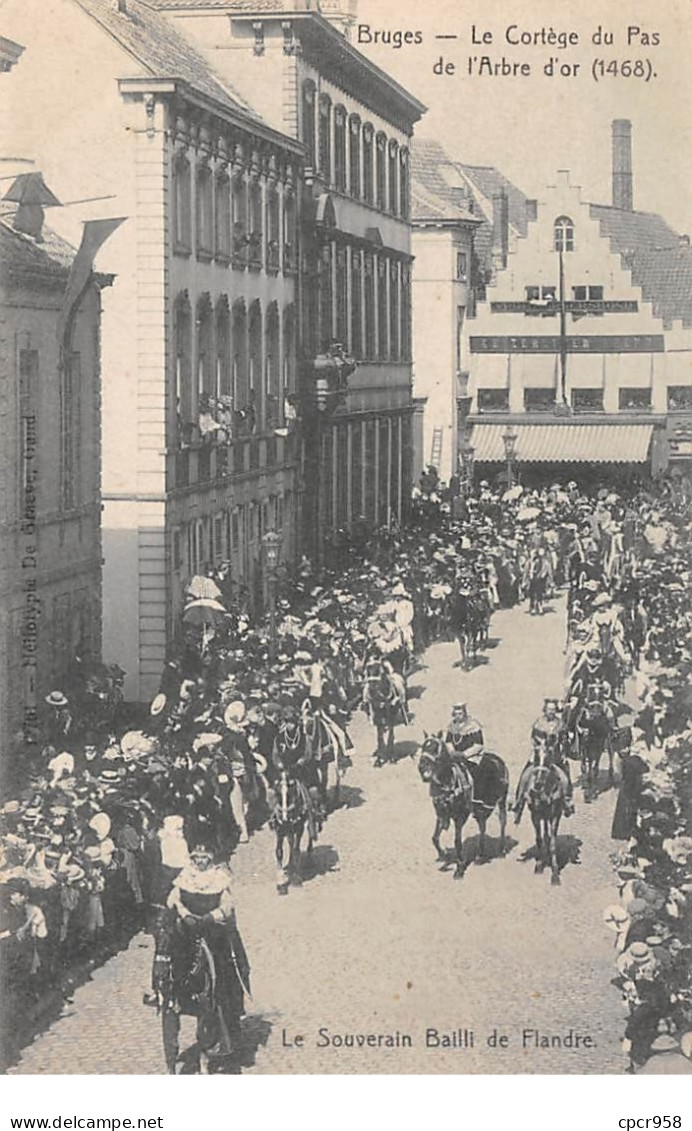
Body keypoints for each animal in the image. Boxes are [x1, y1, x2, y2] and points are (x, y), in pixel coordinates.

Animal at [269, 764, 316, 895]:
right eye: (277, 790)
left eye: (292, 788)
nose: (285, 817)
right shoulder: (279, 830)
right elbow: (279, 852)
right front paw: (281, 884)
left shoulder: (299, 829)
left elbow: (296, 850)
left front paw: (296, 879)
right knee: (290, 841)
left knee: (308, 836)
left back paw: (309, 855)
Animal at [416, 732, 508, 882]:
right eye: (424, 746)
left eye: (435, 748)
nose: (421, 766)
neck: (448, 783)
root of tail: (499, 761)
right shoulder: (440, 813)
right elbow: (434, 838)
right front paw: (444, 855)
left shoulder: (460, 816)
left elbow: (457, 841)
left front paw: (459, 868)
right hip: (480, 809)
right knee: (482, 826)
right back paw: (480, 856)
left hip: (501, 800)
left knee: (502, 822)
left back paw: (501, 850)